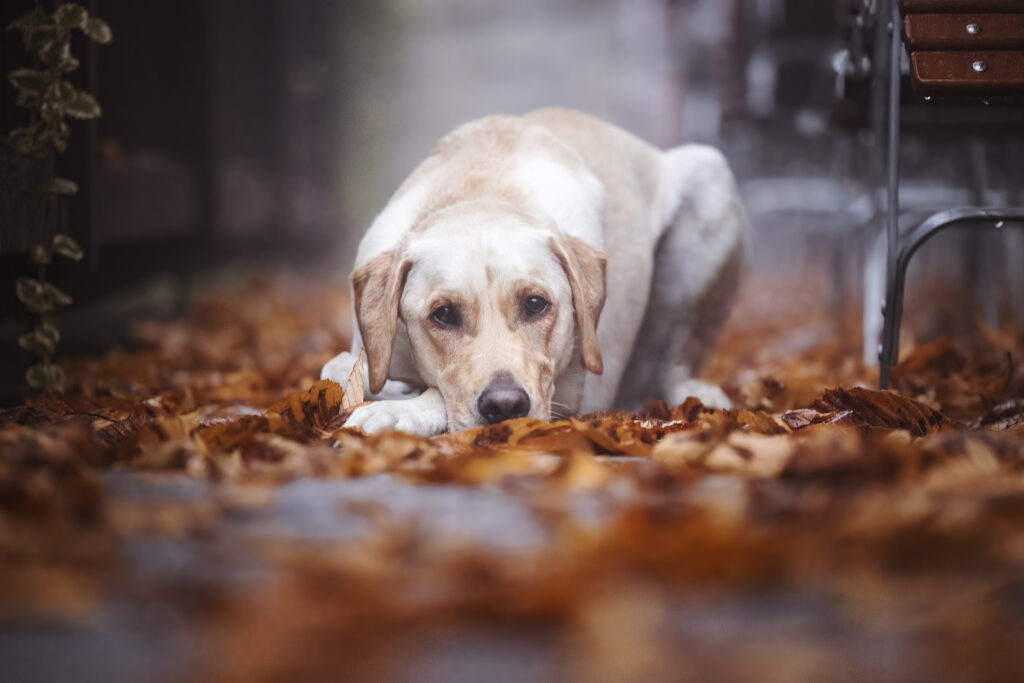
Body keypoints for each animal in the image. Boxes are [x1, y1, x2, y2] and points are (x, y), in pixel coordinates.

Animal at [323, 109, 749, 436]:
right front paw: (389, 393)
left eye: (535, 304)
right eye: (443, 314)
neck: (482, 193)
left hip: (710, 179)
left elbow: (436, 394)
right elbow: (338, 368)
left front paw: (398, 411)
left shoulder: (571, 390)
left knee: (673, 360)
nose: (505, 405)